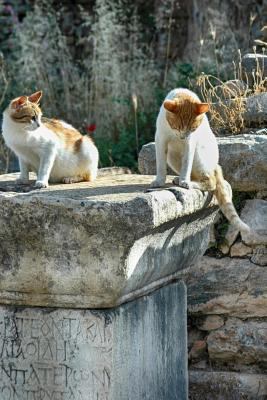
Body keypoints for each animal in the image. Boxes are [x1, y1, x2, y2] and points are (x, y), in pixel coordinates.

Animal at [153, 87, 251, 234]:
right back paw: (179, 179)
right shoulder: (160, 139)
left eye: (192, 129)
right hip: (171, 156)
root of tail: (216, 166)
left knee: (211, 183)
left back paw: (189, 183)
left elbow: (186, 165)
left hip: (199, 157)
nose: (183, 137)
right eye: (177, 127)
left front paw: (184, 181)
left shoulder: (190, 143)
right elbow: (160, 165)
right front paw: (159, 181)